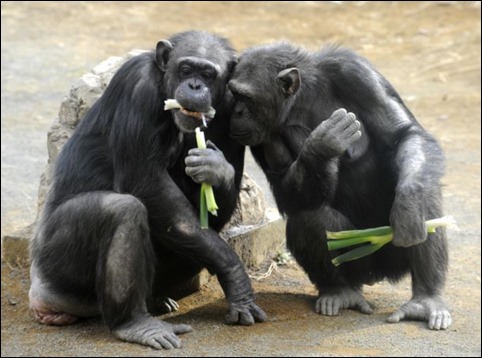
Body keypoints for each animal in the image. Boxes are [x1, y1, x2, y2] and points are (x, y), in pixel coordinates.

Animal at [29, 30, 268, 350]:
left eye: (207, 74)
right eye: (186, 69)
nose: (195, 85)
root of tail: (40, 292)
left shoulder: (232, 109)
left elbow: (205, 214)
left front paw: (216, 168)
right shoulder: (138, 88)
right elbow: (145, 184)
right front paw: (236, 277)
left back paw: (155, 301)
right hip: (54, 265)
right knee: (122, 211)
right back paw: (135, 323)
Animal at [228, 42, 450, 330]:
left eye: (246, 97)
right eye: (233, 94)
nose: (236, 112)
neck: (301, 99)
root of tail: (379, 275)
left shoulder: (356, 72)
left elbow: (402, 134)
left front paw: (409, 207)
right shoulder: (265, 138)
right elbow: (288, 192)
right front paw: (321, 145)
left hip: (394, 256)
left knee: (427, 193)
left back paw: (426, 298)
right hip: (359, 266)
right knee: (310, 218)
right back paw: (339, 292)